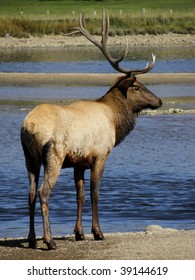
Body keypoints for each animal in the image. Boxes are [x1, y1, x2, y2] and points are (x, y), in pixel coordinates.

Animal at [20, 10, 162, 250]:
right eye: (137, 87)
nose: (159, 101)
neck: (114, 119)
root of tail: (28, 126)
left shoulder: (79, 162)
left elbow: (80, 195)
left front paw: (79, 233)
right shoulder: (100, 155)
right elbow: (95, 193)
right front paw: (98, 232)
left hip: (29, 157)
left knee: (30, 193)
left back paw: (31, 239)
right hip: (54, 154)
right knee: (43, 192)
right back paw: (49, 241)